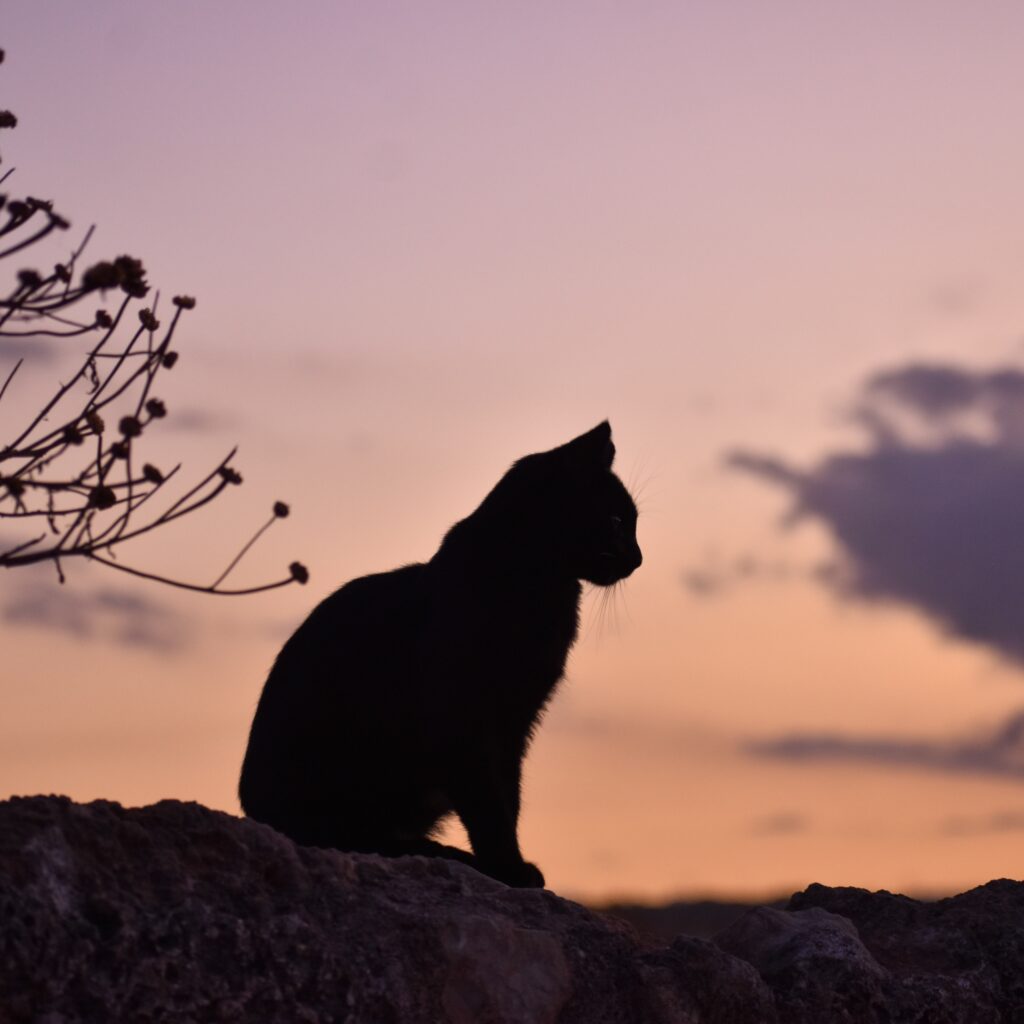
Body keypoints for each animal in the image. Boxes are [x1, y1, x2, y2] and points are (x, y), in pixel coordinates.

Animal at [237, 421, 638, 888]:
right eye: (616, 521)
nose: (639, 558)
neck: (539, 586)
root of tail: (255, 811)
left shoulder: (516, 723)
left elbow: (510, 796)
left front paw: (509, 865)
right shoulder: (464, 720)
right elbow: (489, 803)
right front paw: (507, 868)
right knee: (351, 836)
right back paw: (438, 852)